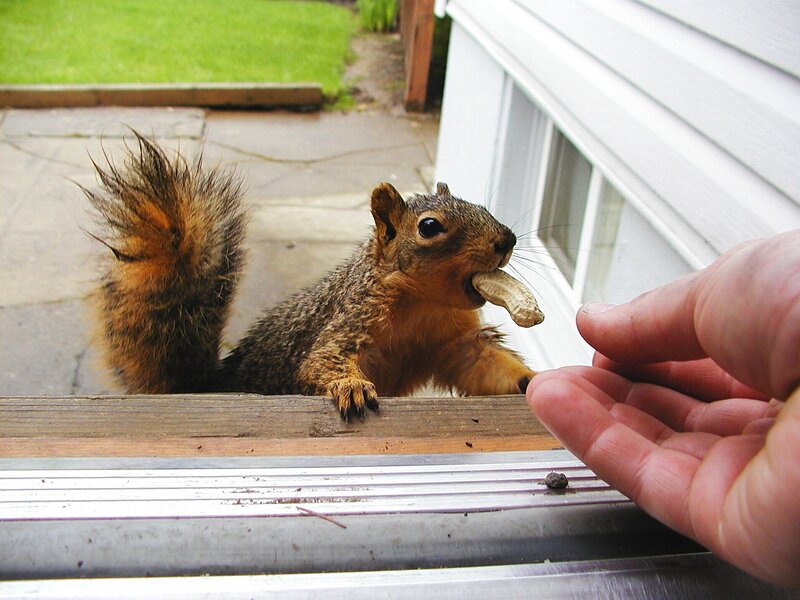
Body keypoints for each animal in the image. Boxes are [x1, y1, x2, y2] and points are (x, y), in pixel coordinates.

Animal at [84, 132, 538, 419]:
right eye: (429, 227)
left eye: (479, 205)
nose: (507, 239)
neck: (424, 302)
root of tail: (212, 383)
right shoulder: (351, 318)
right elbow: (322, 360)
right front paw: (350, 387)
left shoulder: (451, 343)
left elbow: (482, 364)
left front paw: (530, 380)